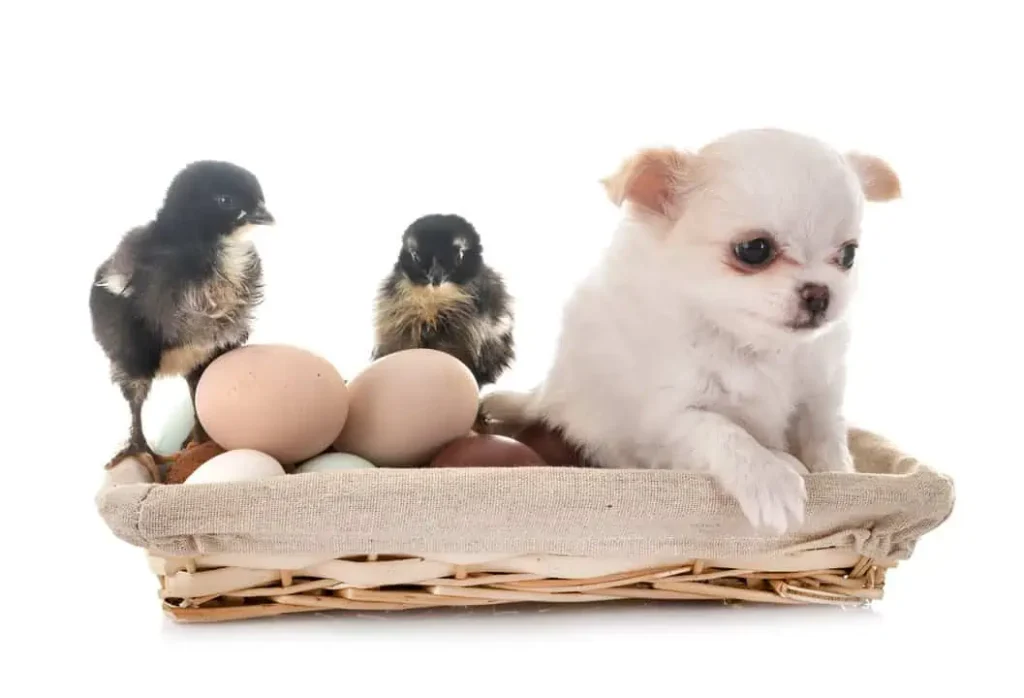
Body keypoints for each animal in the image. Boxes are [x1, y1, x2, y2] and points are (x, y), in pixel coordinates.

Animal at [483, 128, 901, 532]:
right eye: (755, 249)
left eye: (848, 255)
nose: (820, 294)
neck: (753, 346)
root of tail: (546, 393)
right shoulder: (670, 416)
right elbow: (722, 430)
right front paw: (769, 479)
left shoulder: (818, 397)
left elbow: (826, 439)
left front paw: (842, 475)